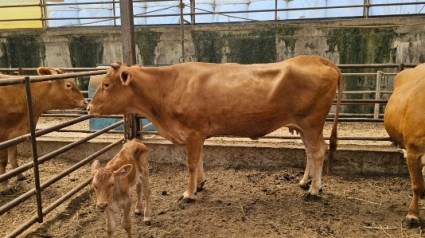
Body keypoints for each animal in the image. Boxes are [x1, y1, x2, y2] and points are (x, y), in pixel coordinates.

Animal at [88, 54, 342, 202]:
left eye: (106, 84)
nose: (89, 106)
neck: (167, 87)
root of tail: (320, 60)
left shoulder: (192, 132)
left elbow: (191, 163)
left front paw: (188, 193)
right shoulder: (197, 134)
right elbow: (200, 159)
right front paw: (200, 185)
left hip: (311, 123)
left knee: (318, 152)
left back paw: (313, 191)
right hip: (304, 127)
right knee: (310, 152)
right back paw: (305, 182)